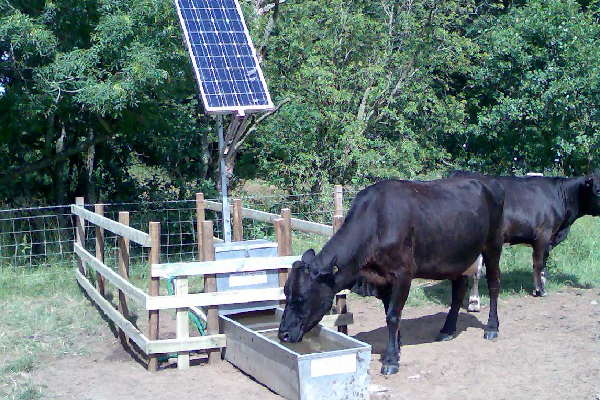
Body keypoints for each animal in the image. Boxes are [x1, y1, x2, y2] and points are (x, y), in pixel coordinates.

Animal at [278, 178, 504, 376]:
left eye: (302, 298)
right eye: (286, 294)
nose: (283, 334)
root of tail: (486, 182)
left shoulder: (403, 273)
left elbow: (393, 315)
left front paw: (391, 360)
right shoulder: (383, 279)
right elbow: (389, 313)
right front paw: (397, 345)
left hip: (493, 245)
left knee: (494, 284)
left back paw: (492, 328)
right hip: (459, 257)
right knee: (458, 291)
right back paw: (447, 330)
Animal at [450, 170, 600, 304]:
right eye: (597, 190)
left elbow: (543, 263)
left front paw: (541, 284)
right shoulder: (543, 234)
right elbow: (538, 263)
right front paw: (540, 290)